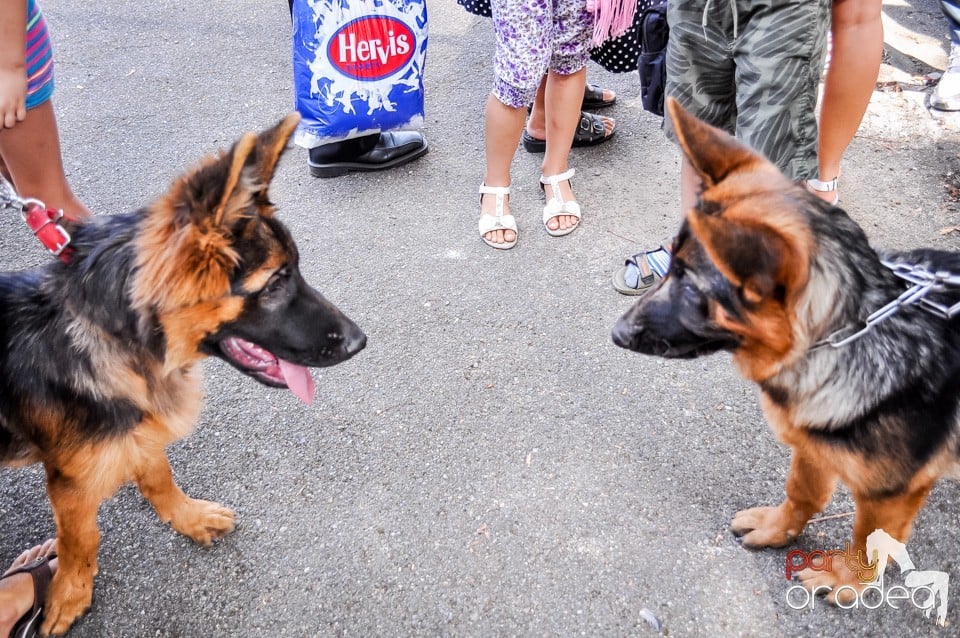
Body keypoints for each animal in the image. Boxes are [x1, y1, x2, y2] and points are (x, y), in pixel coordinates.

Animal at [0, 114, 368, 636]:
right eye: (276, 282)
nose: (361, 341)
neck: (110, 333)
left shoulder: (141, 429)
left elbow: (159, 476)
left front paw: (187, 518)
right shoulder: (71, 479)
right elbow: (82, 539)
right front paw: (68, 596)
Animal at [616, 97, 960, 604]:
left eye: (693, 287)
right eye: (670, 264)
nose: (616, 333)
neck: (852, 328)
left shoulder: (890, 492)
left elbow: (868, 537)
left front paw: (846, 579)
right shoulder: (812, 444)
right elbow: (802, 490)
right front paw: (779, 529)